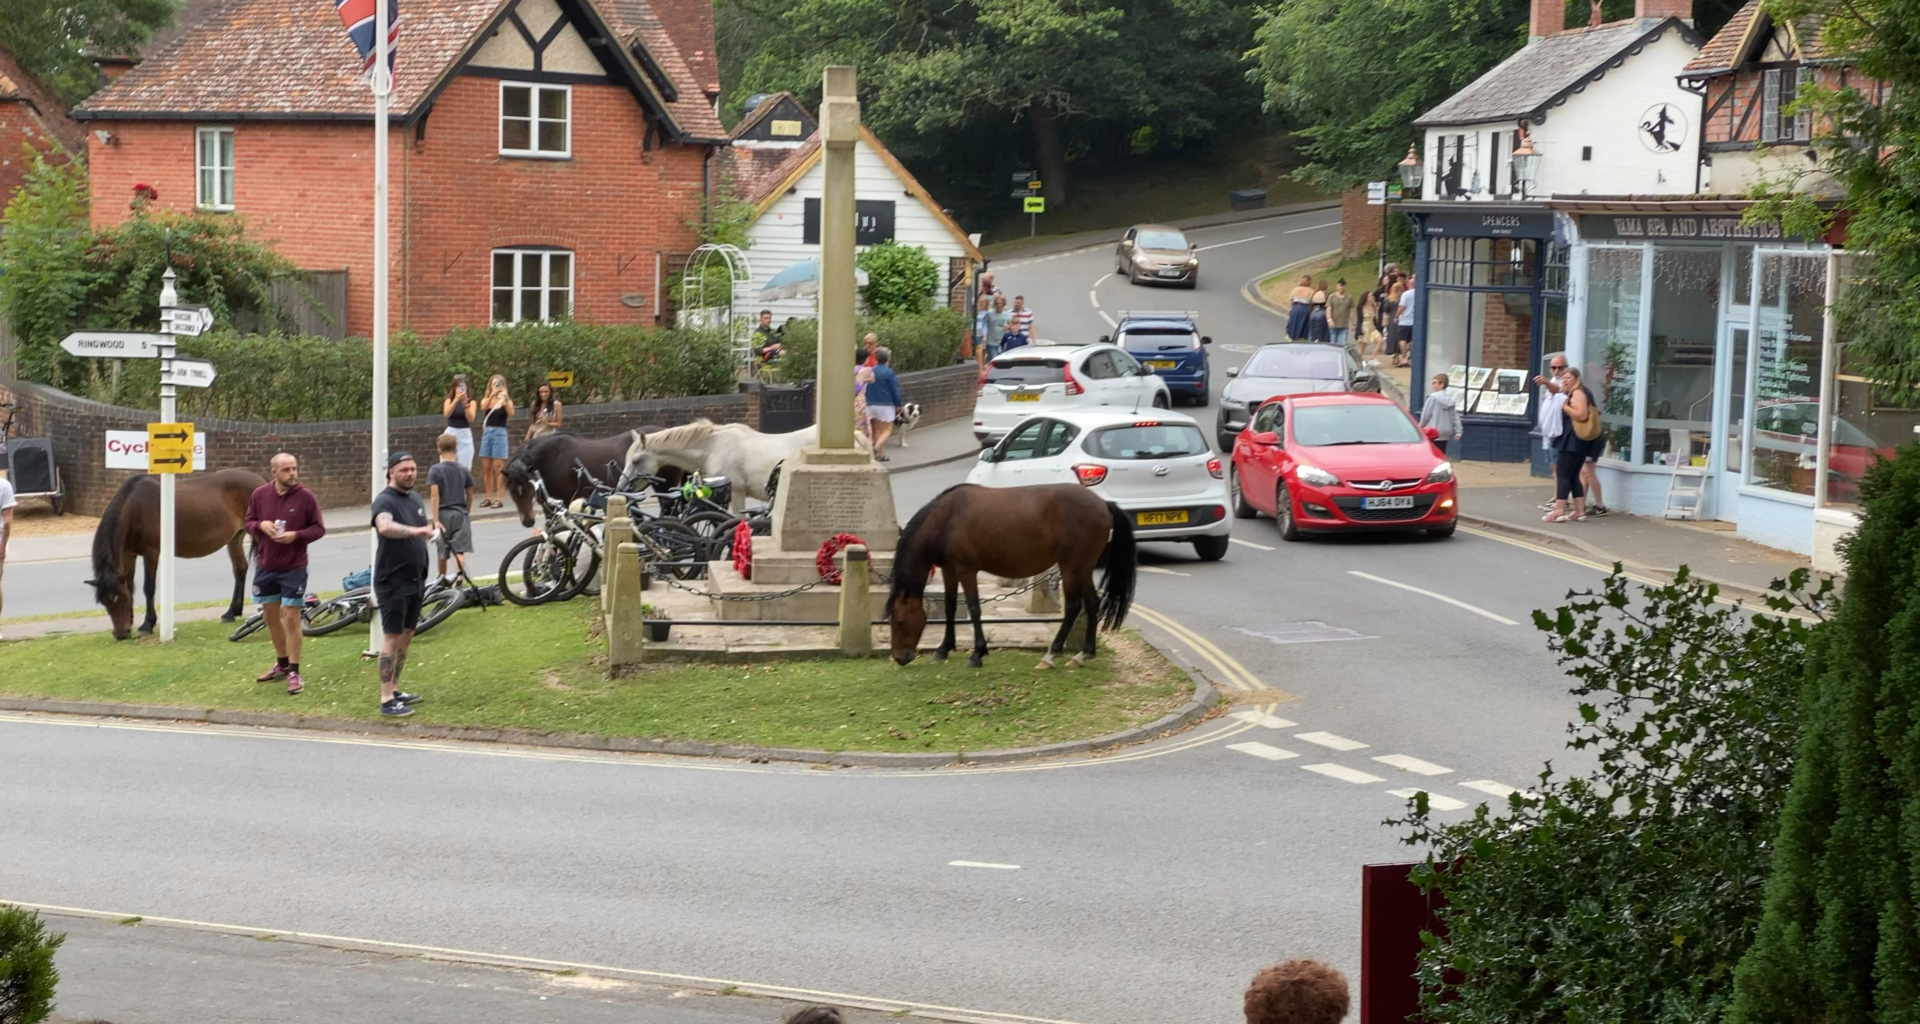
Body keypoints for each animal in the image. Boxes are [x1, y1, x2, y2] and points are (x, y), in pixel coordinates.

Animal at [85, 468, 261, 637]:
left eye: (119, 598)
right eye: (104, 602)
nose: (121, 634)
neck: (134, 508)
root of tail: (261, 480)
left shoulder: (151, 553)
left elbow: (149, 587)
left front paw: (147, 625)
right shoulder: (129, 555)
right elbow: (130, 586)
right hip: (235, 538)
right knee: (240, 569)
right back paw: (231, 613)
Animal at [887, 484, 1136, 672]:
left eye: (899, 621)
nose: (899, 657)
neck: (946, 519)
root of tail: (1103, 504)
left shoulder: (966, 570)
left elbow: (974, 609)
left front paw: (977, 654)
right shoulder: (949, 570)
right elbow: (949, 607)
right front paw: (943, 649)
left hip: (1071, 567)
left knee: (1073, 606)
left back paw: (1051, 655)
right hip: (1082, 568)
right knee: (1092, 604)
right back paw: (1084, 654)